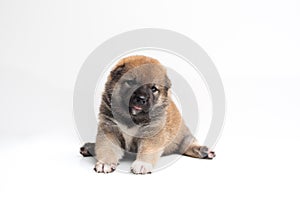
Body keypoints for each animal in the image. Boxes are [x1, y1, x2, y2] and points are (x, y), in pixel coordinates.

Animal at [79, 54, 216, 173]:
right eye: (131, 82)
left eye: (153, 88)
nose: (141, 98)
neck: (131, 117)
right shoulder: (109, 128)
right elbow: (107, 148)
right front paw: (105, 163)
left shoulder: (152, 132)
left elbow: (147, 150)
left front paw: (142, 164)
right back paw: (90, 147)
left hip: (182, 137)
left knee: (187, 144)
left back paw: (203, 151)